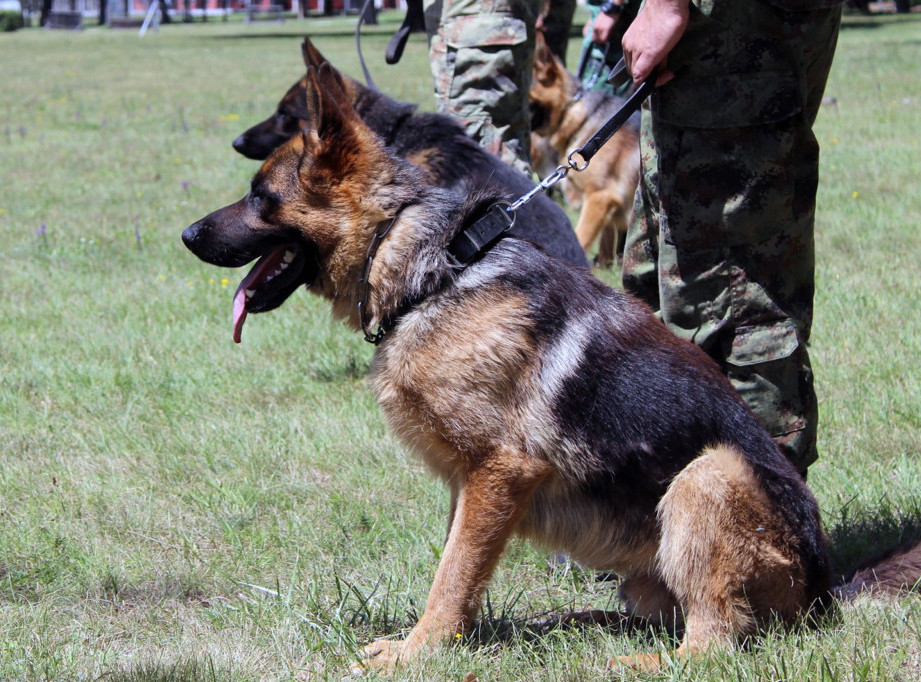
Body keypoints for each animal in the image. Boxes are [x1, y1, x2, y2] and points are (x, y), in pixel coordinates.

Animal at [181, 65, 920, 668]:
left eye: (260, 198)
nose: (186, 235)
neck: (429, 272)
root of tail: (825, 592)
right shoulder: (470, 484)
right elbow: (459, 565)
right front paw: (454, 640)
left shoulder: (499, 471)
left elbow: (452, 572)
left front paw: (420, 651)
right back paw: (581, 624)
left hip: (706, 475)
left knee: (712, 643)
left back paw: (630, 660)